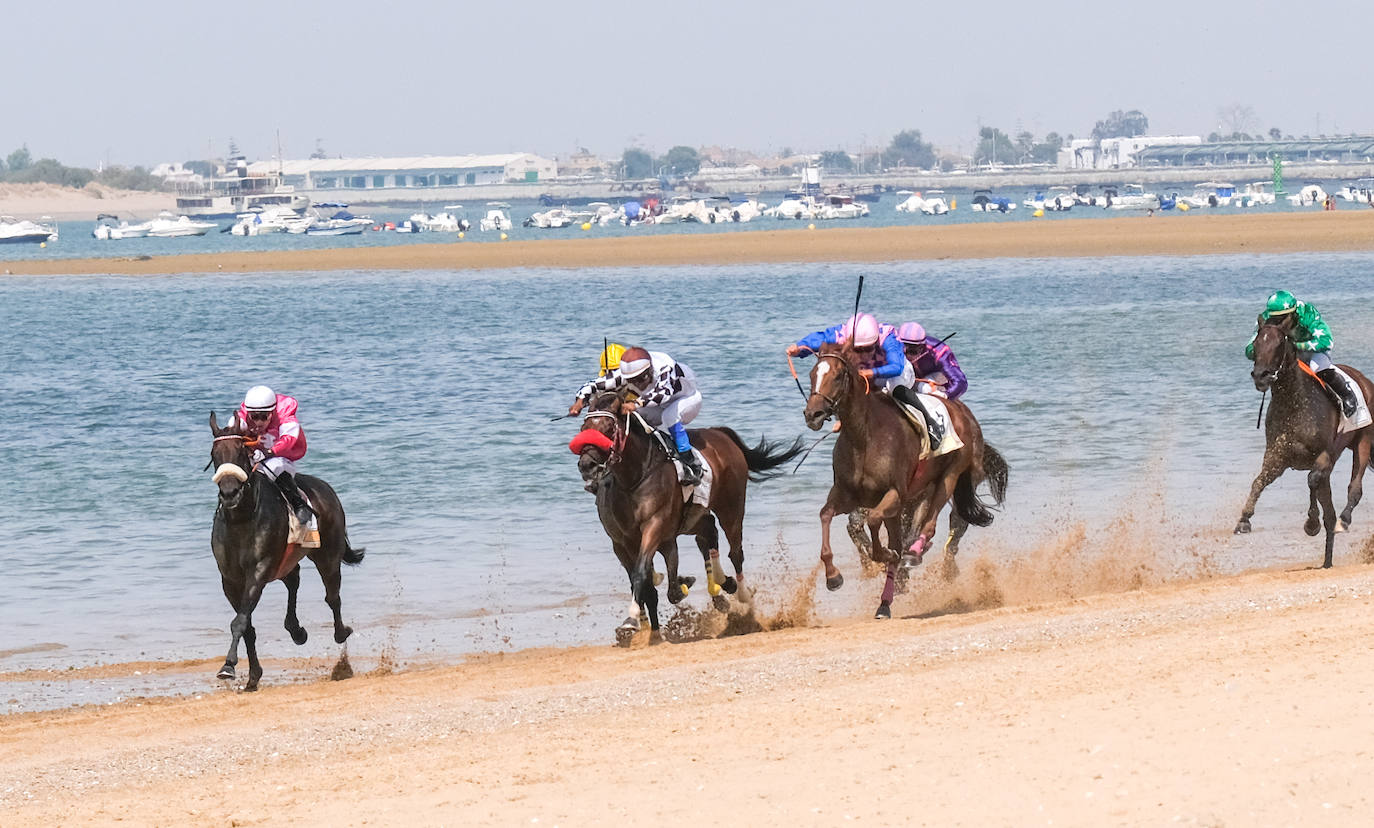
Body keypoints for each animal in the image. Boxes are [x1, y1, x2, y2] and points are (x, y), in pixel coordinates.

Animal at [206, 412, 365, 690]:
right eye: (215, 454)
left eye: (240, 452)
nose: (229, 492)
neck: (242, 518)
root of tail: (325, 487)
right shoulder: (230, 580)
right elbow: (247, 626)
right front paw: (252, 675)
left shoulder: (259, 571)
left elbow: (240, 621)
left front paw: (228, 666)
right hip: (286, 561)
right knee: (294, 580)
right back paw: (296, 629)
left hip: (327, 555)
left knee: (332, 597)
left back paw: (340, 633)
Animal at [571, 393, 804, 646]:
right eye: (584, 428)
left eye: (609, 428)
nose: (586, 465)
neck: (633, 479)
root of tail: (720, 434)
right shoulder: (623, 542)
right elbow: (647, 583)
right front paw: (652, 627)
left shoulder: (655, 526)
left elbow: (645, 575)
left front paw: (632, 619)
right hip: (695, 517)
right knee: (709, 534)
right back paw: (723, 582)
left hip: (731, 507)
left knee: (735, 552)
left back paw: (742, 594)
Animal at [804, 341, 1008, 618]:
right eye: (812, 374)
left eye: (836, 376)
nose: (812, 414)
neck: (864, 438)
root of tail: (963, 411)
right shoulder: (846, 495)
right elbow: (828, 516)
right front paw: (834, 576)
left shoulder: (895, 494)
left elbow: (877, 525)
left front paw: (885, 555)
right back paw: (886, 600)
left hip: (950, 478)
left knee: (937, 525)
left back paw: (916, 558)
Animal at [1235, 321, 1374, 567]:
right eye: (1256, 343)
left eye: (1279, 344)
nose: (1261, 376)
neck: (1294, 403)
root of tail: (1364, 380)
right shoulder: (1277, 458)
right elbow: (1258, 482)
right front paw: (1244, 520)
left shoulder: (1324, 455)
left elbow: (1312, 480)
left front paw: (1311, 523)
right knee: (1329, 513)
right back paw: (1327, 562)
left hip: (1363, 441)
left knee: (1353, 489)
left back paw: (1344, 521)